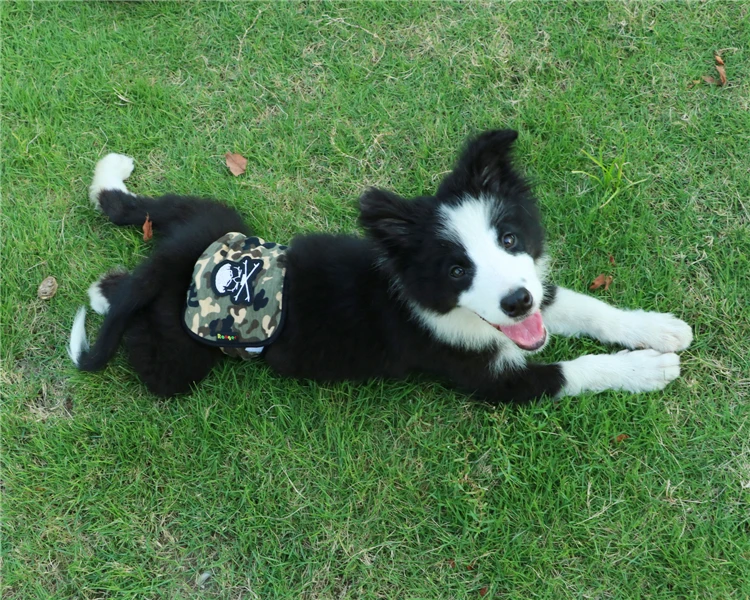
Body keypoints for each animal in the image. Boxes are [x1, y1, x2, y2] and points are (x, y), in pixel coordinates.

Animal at [69, 129, 693, 403]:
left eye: (510, 237)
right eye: (456, 271)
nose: (515, 302)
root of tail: (174, 266)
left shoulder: (533, 289)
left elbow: (586, 307)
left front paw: (659, 330)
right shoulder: (489, 379)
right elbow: (574, 370)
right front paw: (646, 369)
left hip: (215, 217)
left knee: (134, 211)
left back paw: (110, 207)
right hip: (180, 363)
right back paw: (106, 295)